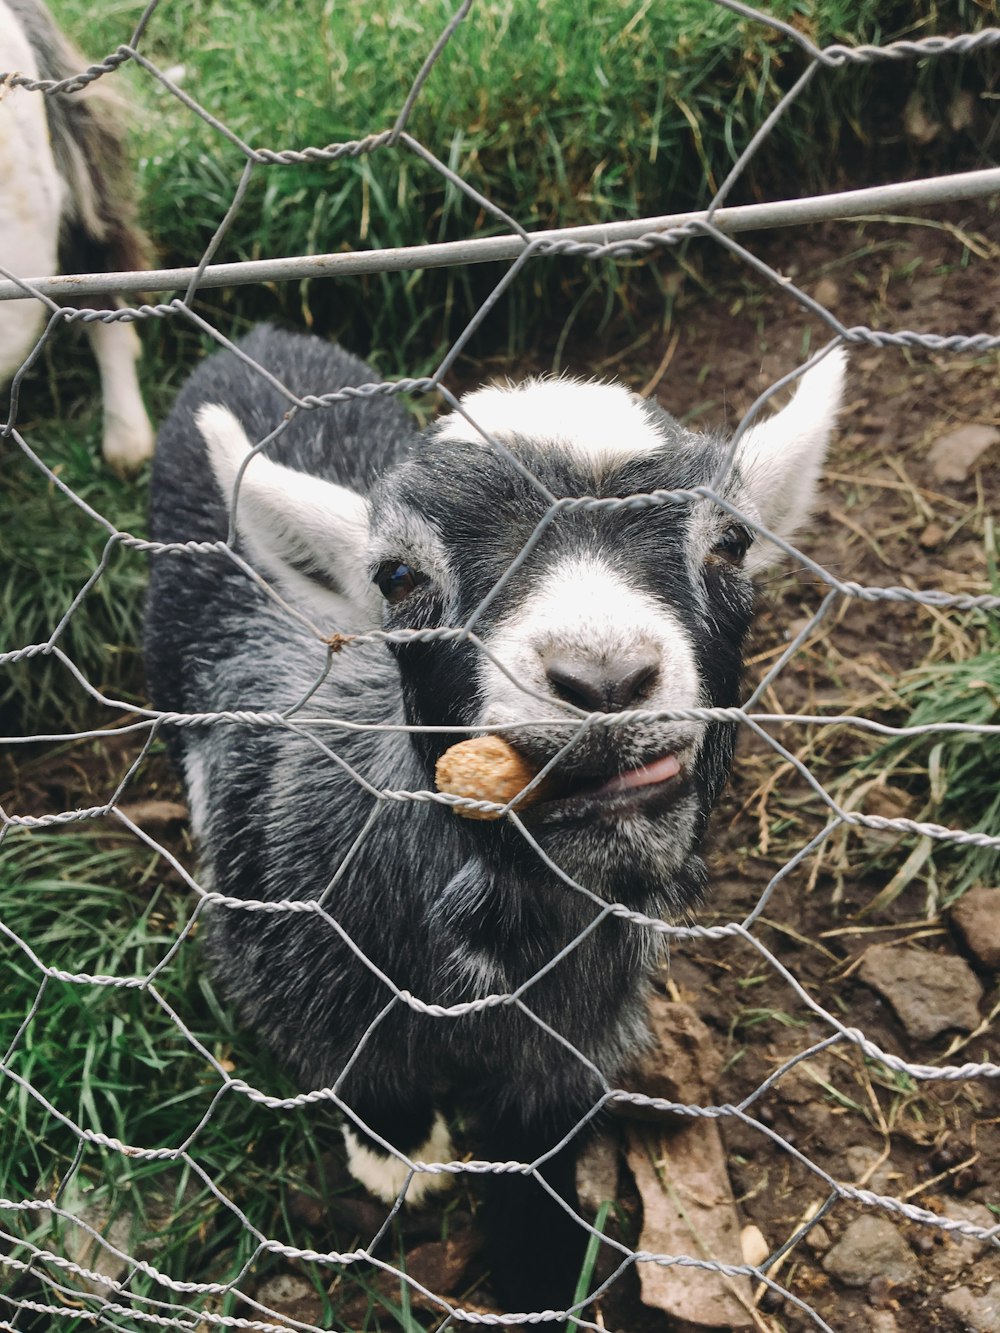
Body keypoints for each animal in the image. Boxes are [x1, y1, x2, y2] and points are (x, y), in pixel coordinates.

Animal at [146, 325, 848, 1311]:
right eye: (398, 576)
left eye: (733, 543)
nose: (603, 676)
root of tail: (259, 339)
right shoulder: (293, 967)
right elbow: (362, 1070)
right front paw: (400, 1157)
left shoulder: (571, 1043)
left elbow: (537, 1162)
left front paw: (544, 1270)